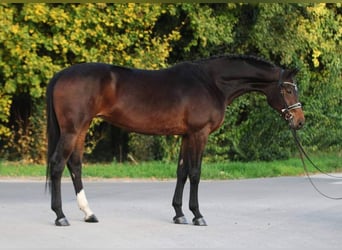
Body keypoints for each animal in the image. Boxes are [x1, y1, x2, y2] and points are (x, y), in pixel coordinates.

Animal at [46, 54, 304, 227]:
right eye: (288, 90)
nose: (300, 121)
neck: (211, 82)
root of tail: (60, 74)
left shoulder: (186, 135)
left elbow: (182, 172)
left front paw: (179, 214)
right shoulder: (200, 133)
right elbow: (195, 173)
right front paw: (198, 215)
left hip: (81, 129)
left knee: (75, 165)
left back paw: (88, 213)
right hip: (72, 130)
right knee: (58, 164)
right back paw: (60, 216)